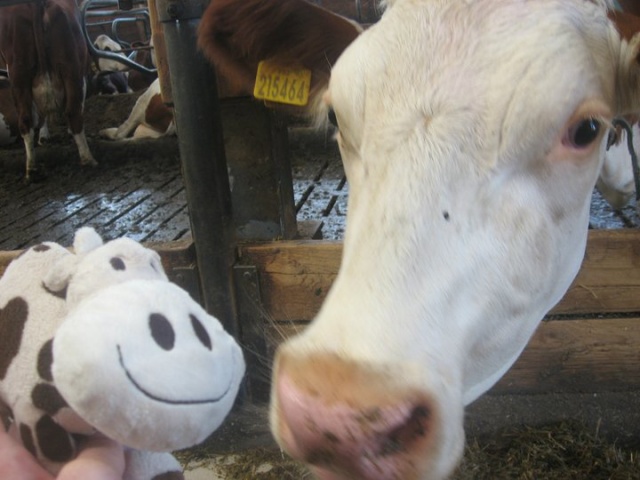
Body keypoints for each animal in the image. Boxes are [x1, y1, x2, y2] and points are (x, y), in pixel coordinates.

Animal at [0, 0, 97, 182]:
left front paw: (44, 136)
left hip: (19, 74)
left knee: (26, 119)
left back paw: (32, 169)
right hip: (72, 67)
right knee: (73, 112)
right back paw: (88, 159)